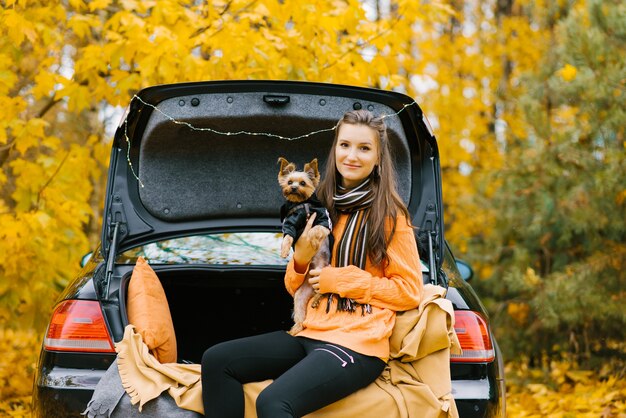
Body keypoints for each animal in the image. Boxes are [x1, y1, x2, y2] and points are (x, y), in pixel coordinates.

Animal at [278, 158, 332, 336]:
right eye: (289, 182)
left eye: (303, 183)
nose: (294, 188)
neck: (303, 204)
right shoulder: (290, 222)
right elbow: (288, 236)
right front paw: (284, 250)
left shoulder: (323, 220)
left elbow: (316, 229)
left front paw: (314, 241)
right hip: (301, 295)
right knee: (301, 312)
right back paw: (295, 329)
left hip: (325, 273)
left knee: (324, 291)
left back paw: (316, 300)